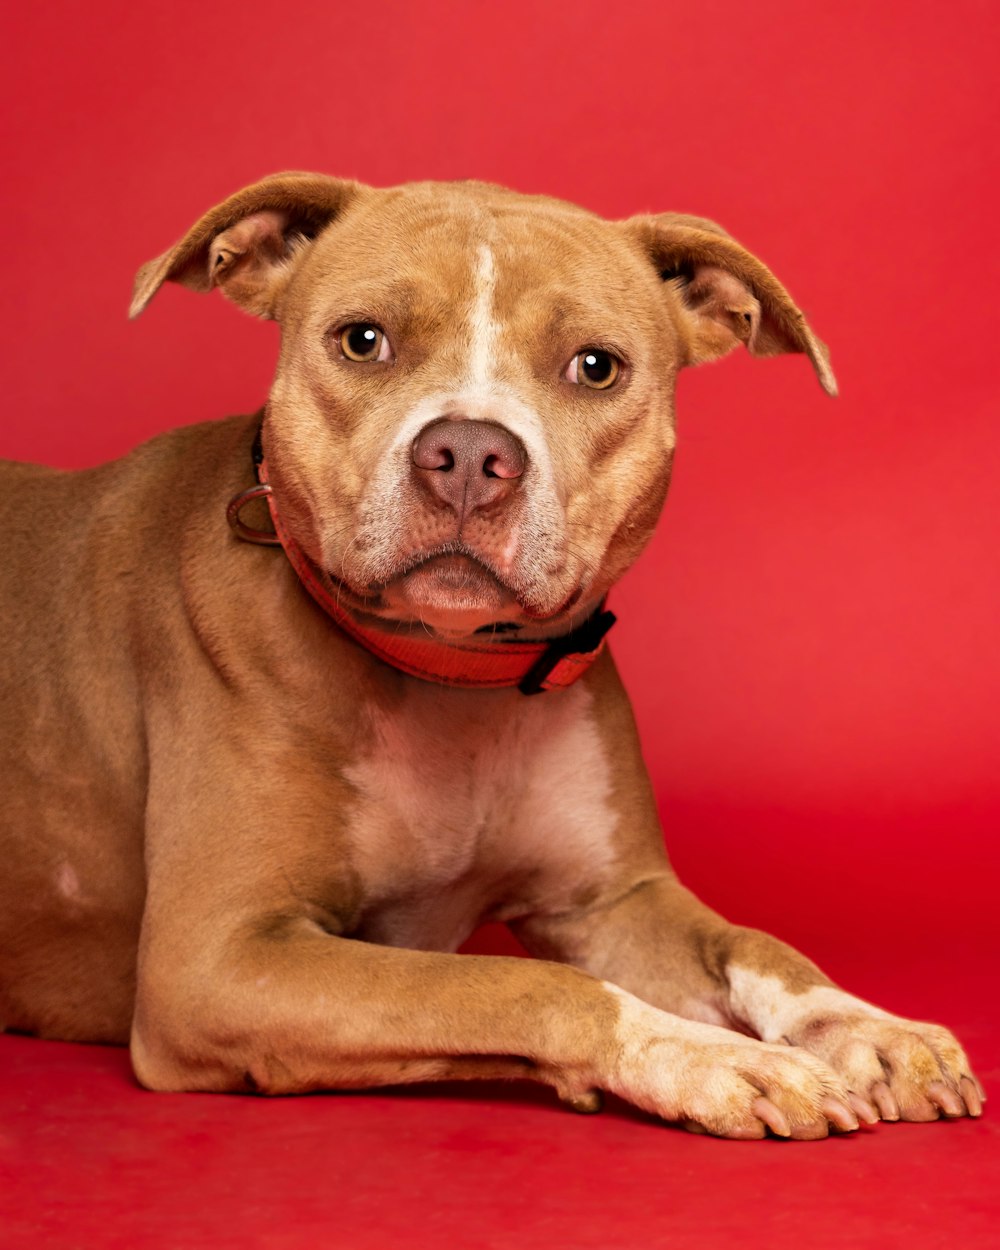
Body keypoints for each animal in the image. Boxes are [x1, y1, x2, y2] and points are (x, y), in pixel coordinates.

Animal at [0, 171, 985, 1140]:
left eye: (596, 366)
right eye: (363, 341)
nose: (470, 452)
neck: (452, 680)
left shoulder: (613, 902)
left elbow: (754, 944)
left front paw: (869, 1027)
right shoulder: (218, 957)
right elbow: (522, 982)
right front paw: (712, 1056)